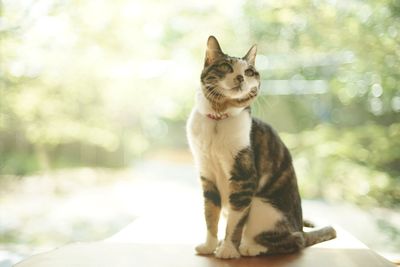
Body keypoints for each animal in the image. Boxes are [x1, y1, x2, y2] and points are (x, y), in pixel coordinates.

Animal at [186, 35, 336, 260]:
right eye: (225, 66)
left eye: (249, 72)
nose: (241, 77)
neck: (218, 121)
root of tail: (302, 229)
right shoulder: (207, 176)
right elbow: (210, 215)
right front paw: (209, 245)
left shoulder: (244, 179)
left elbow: (235, 223)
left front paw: (228, 250)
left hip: (261, 204)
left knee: (294, 241)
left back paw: (249, 247)